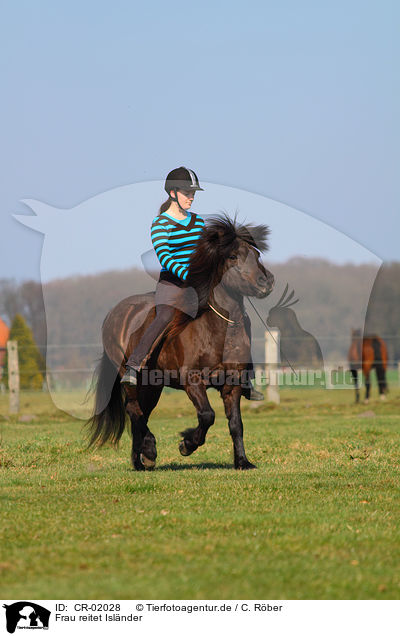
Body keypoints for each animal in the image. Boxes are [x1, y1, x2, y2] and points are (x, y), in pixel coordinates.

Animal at [86, 216, 276, 470]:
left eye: (256, 255)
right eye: (233, 256)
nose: (267, 283)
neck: (216, 327)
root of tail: (114, 313)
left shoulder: (232, 384)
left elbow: (236, 424)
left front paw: (243, 462)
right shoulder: (192, 381)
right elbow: (207, 415)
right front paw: (186, 444)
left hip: (153, 384)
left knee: (141, 412)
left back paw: (140, 460)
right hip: (131, 377)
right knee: (133, 409)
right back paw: (149, 450)